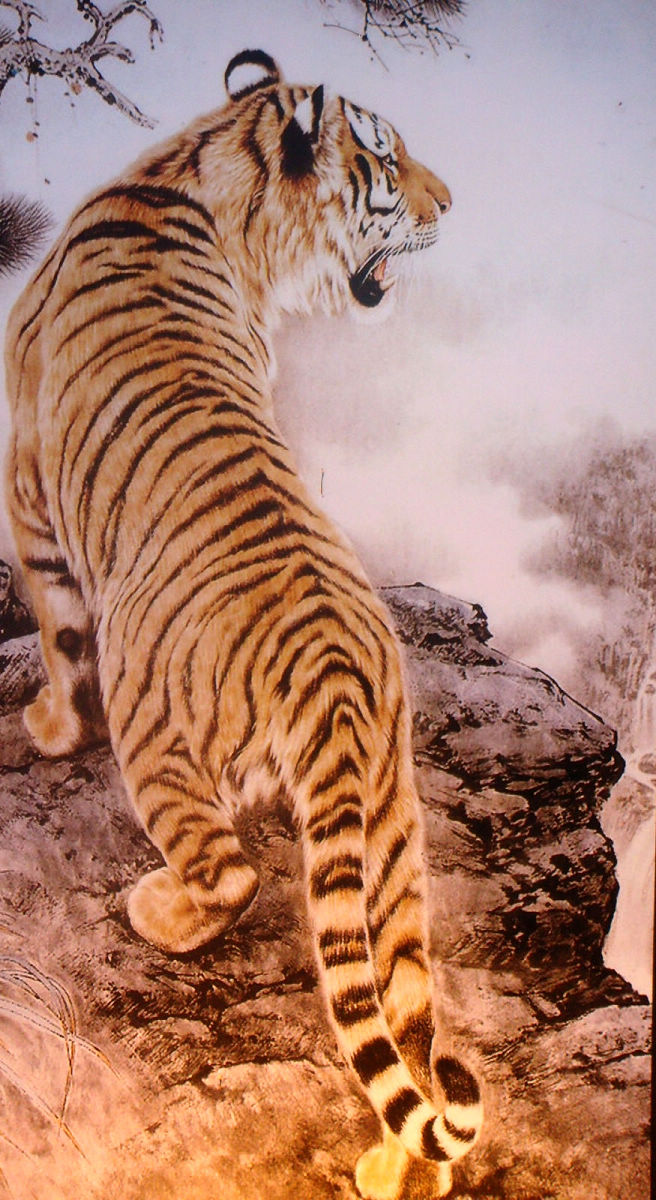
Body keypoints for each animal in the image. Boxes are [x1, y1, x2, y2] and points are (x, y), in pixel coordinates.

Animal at [4, 49, 482, 1199]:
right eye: (389, 159)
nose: (451, 204)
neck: (195, 173)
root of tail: (341, 677)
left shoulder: (29, 495)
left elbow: (57, 634)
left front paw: (46, 730)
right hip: (390, 843)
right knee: (407, 1021)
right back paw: (390, 1168)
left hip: (160, 741)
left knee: (226, 873)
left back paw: (154, 910)